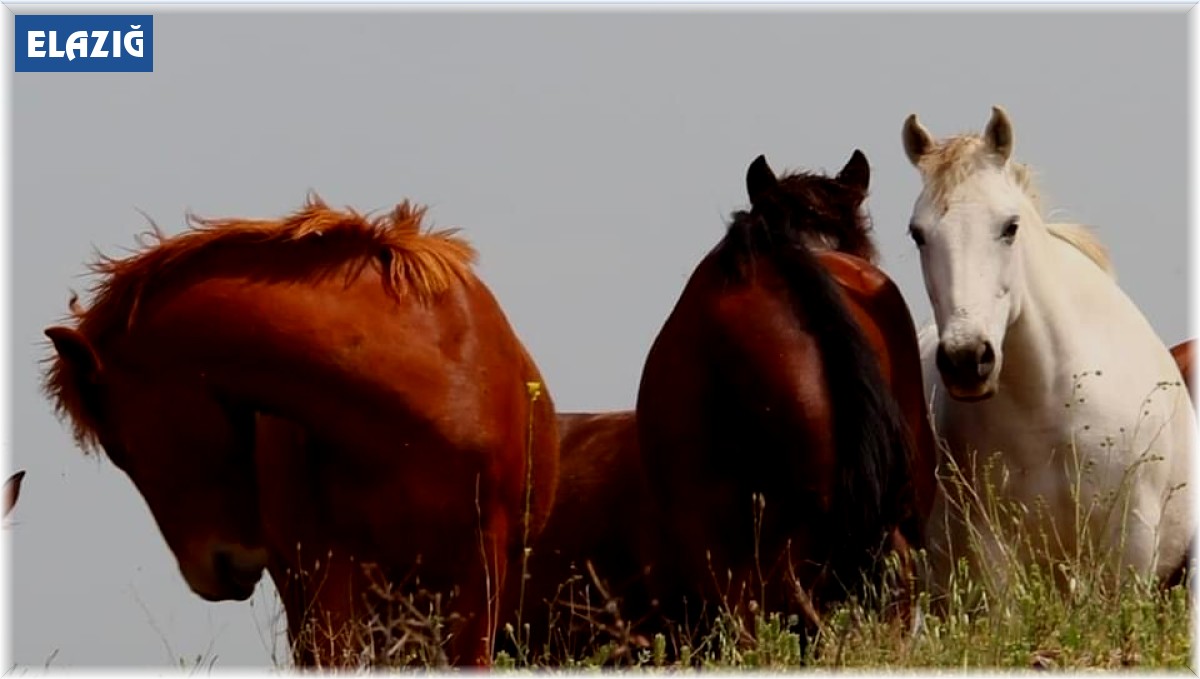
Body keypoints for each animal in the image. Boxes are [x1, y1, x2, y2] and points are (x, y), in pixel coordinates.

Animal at [902, 106, 1195, 602]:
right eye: (918, 234)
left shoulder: (1129, 553)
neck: (1050, 406)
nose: (966, 359)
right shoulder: (992, 560)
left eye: (1010, 226)